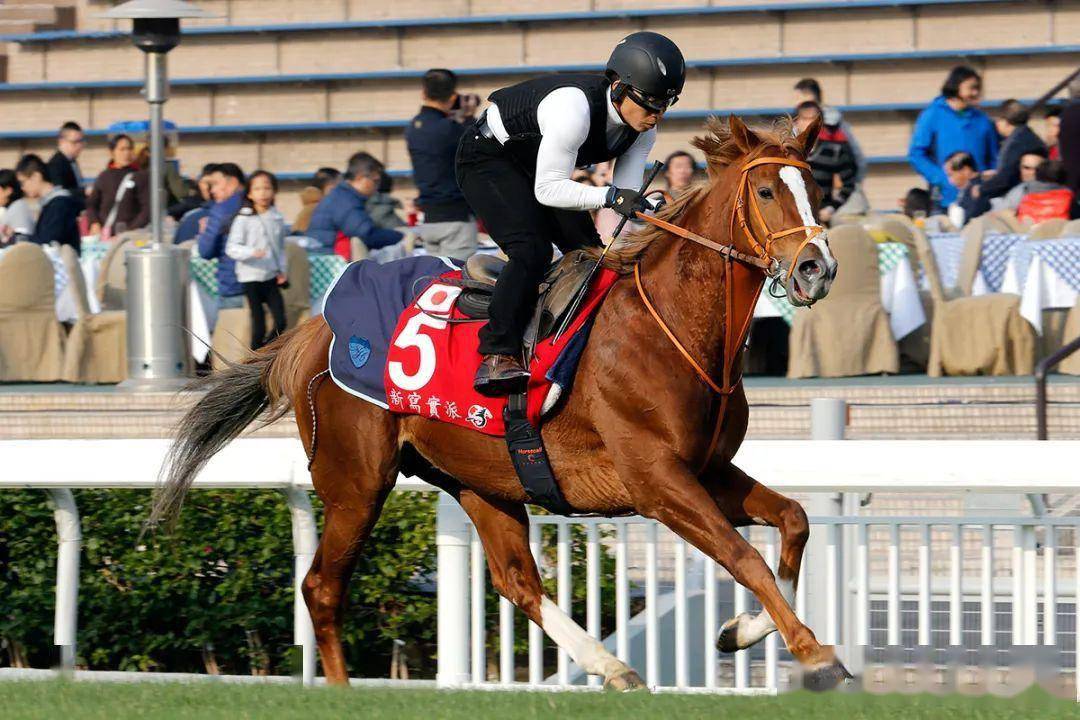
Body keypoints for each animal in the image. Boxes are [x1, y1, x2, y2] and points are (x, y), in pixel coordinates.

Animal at [151, 114, 847, 690]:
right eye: (767, 192)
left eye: (815, 188)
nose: (817, 269)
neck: (669, 328)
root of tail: (318, 328)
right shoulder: (656, 480)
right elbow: (744, 556)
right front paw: (815, 652)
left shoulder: (706, 469)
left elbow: (793, 522)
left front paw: (742, 630)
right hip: (357, 479)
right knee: (322, 587)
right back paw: (344, 695)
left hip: (479, 478)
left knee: (516, 581)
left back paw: (613, 667)